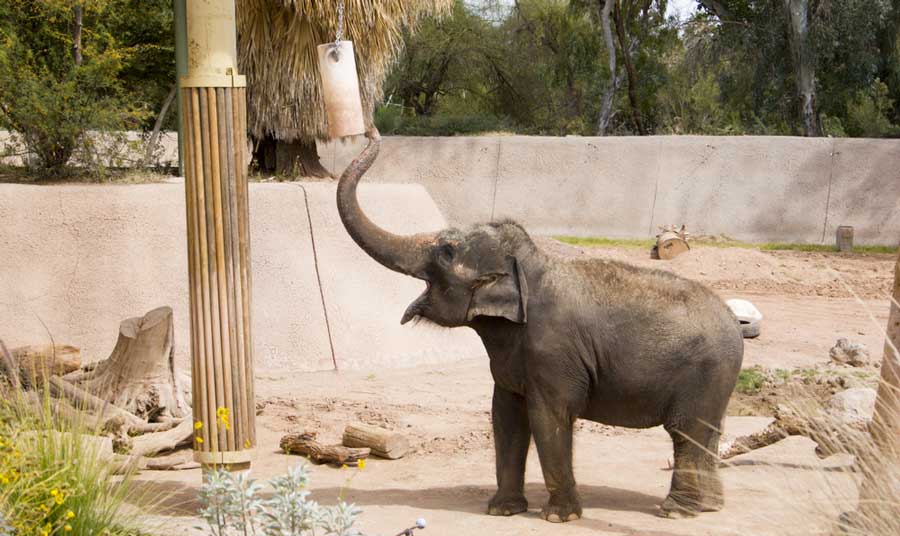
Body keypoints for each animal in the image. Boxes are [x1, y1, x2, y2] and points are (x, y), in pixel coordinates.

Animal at [336, 130, 744, 522]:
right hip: (716, 381)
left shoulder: (554, 354)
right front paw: (502, 510)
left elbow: (549, 417)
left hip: (704, 374)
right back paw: (711, 506)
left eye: (446, 253)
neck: (530, 269)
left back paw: (676, 510)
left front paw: (559, 517)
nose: (371, 131)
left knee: (687, 432)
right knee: (709, 432)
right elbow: (505, 415)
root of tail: (735, 323)